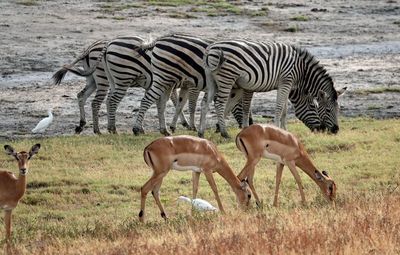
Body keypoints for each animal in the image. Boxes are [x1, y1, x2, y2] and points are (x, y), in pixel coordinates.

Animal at [52, 37, 192, 135]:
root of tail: (91, 47)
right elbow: (176, 102)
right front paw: (185, 124)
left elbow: (167, 101)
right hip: (104, 80)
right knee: (97, 102)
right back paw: (100, 130)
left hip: (93, 80)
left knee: (82, 96)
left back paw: (82, 125)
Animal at [203, 39, 346, 137]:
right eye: (326, 110)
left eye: (338, 109)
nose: (335, 130)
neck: (302, 70)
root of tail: (211, 48)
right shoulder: (286, 81)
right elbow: (279, 107)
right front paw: (278, 129)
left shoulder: (284, 84)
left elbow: (284, 109)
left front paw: (285, 130)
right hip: (227, 77)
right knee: (219, 103)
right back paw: (224, 133)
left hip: (213, 79)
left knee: (206, 102)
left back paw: (202, 132)